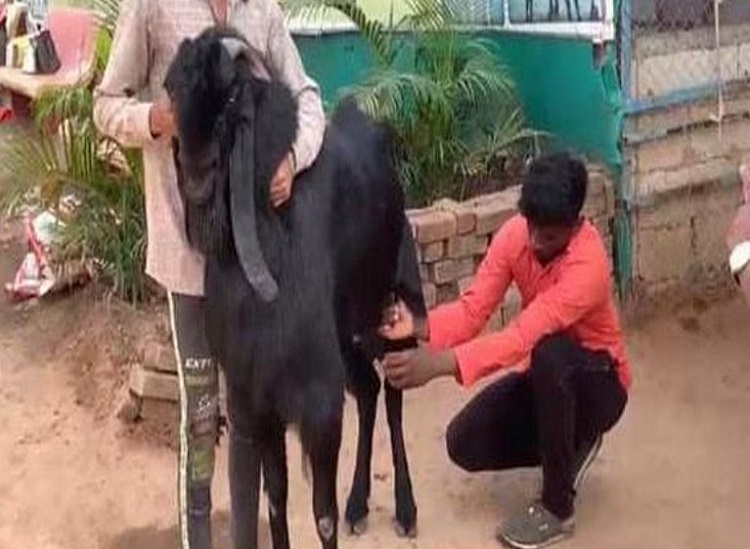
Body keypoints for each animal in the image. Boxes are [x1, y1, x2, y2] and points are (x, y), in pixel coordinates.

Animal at [165, 27, 428, 548]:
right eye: (172, 91)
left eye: (230, 96)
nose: (198, 184)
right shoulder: (257, 404)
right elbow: (274, 500)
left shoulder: (319, 405)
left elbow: (321, 513)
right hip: (348, 341)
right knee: (368, 390)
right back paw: (359, 502)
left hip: (394, 308)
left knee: (392, 394)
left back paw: (406, 508)